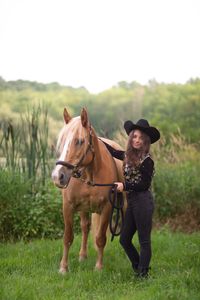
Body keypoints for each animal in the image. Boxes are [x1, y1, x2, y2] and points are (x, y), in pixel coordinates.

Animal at [50, 108, 124, 274]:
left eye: (79, 141)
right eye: (62, 141)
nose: (58, 176)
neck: (90, 176)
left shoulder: (107, 208)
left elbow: (100, 238)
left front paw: (99, 267)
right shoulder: (68, 206)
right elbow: (68, 237)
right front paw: (63, 268)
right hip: (84, 209)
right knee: (85, 227)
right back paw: (82, 256)